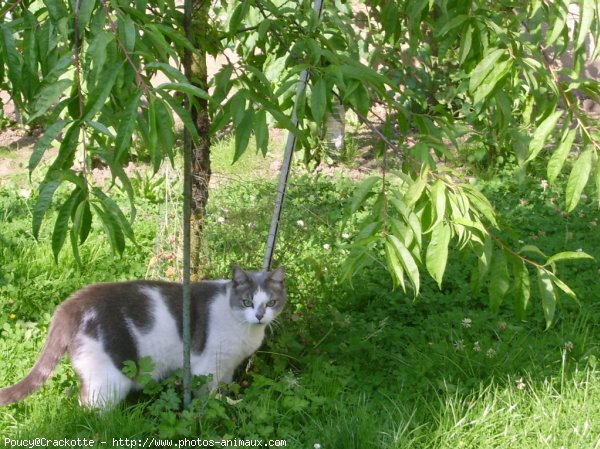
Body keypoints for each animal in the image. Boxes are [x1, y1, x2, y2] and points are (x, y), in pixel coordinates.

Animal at [0, 268, 286, 408]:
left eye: (271, 302)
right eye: (247, 302)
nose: (260, 315)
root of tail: (74, 302)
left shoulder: (227, 366)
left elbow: (224, 390)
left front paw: (229, 401)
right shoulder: (206, 368)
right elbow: (206, 397)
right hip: (110, 379)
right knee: (88, 409)